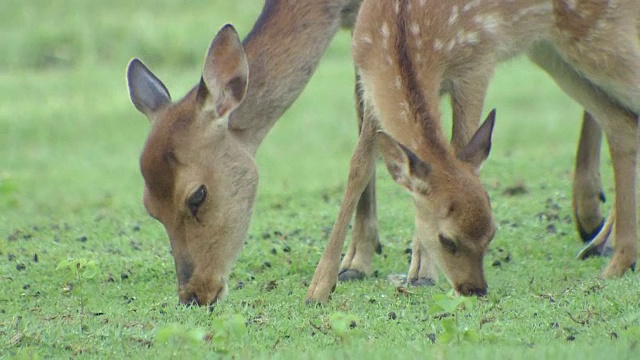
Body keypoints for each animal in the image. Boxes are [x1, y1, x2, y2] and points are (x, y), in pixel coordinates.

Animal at [306, 0, 640, 304]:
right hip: (551, 51)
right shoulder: (370, 87)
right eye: (447, 240)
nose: (474, 289)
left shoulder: (477, 61)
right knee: (622, 123)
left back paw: (614, 253)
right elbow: (359, 167)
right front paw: (321, 286)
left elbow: (459, 142)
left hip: (596, 35)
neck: (402, 38)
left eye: (491, 233)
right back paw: (611, 257)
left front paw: (421, 274)